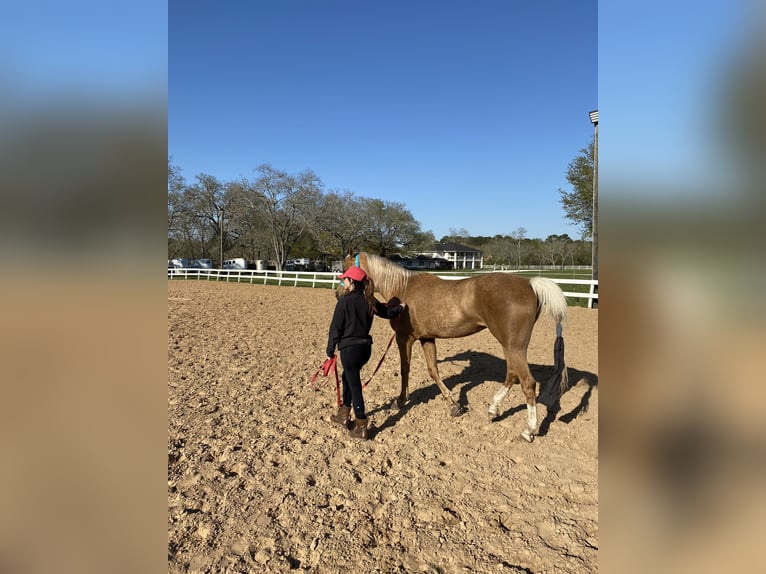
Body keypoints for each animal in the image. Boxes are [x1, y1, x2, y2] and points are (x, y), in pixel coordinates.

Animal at [338, 250, 568, 444]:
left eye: (345, 268)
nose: (338, 293)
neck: (403, 288)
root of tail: (530, 284)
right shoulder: (427, 339)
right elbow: (433, 370)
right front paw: (454, 405)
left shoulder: (405, 339)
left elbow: (405, 369)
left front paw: (401, 400)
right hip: (510, 345)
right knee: (512, 374)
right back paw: (493, 410)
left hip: (514, 346)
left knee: (528, 383)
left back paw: (528, 431)